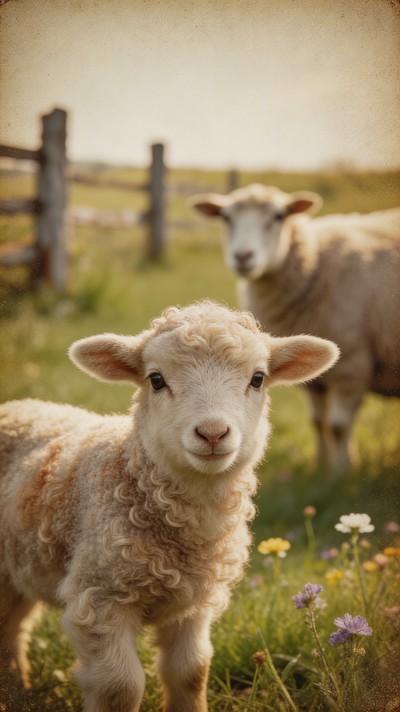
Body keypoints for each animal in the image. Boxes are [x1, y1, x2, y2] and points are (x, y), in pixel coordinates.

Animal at [0, 300, 338, 712]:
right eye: (156, 380)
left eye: (258, 378)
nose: (212, 433)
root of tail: (19, 405)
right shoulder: (98, 595)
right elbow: (119, 687)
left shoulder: (193, 604)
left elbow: (191, 672)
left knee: (11, 632)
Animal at [190, 185, 400, 476]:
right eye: (226, 217)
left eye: (279, 216)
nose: (242, 257)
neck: (316, 262)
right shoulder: (315, 380)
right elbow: (318, 422)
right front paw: (321, 468)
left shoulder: (352, 366)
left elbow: (337, 427)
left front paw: (341, 474)